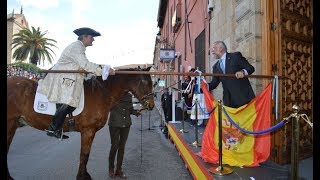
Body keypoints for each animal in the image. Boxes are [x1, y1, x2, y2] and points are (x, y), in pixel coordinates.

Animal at [6, 67, 154, 179]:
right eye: (144, 82)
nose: (151, 105)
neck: (99, 94)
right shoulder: (88, 131)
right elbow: (84, 155)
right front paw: (82, 177)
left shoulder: (89, 132)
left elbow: (85, 155)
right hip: (10, 125)